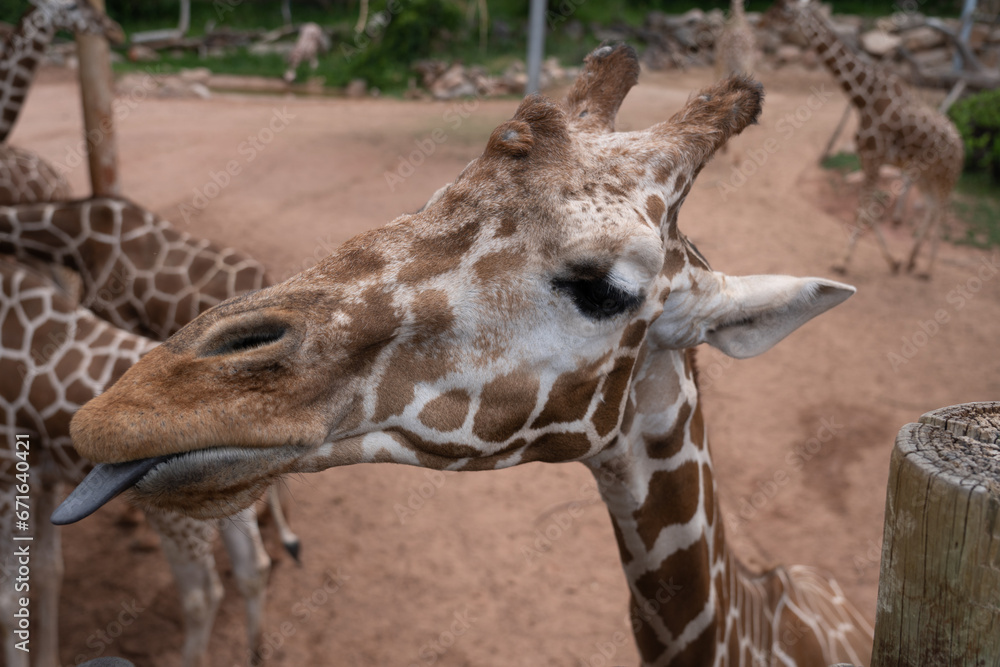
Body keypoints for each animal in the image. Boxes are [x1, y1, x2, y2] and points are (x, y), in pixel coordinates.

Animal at [0, 198, 289, 666]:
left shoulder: (7, 469)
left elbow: (10, 601)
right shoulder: (40, 477)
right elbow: (44, 570)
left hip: (180, 523)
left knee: (203, 595)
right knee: (252, 569)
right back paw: (256, 651)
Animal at [766, 0, 964, 278]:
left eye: (785, 9)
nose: (763, 21)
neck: (862, 98)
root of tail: (961, 143)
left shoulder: (874, 157)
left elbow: (865, 209)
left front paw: (843, 262)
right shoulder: (865, 157)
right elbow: (865, 208)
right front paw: (893, 262)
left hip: (947, 175)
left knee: (942, 212)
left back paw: (927, 269)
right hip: (926, 175)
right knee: (932, 209)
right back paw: (912, 261)